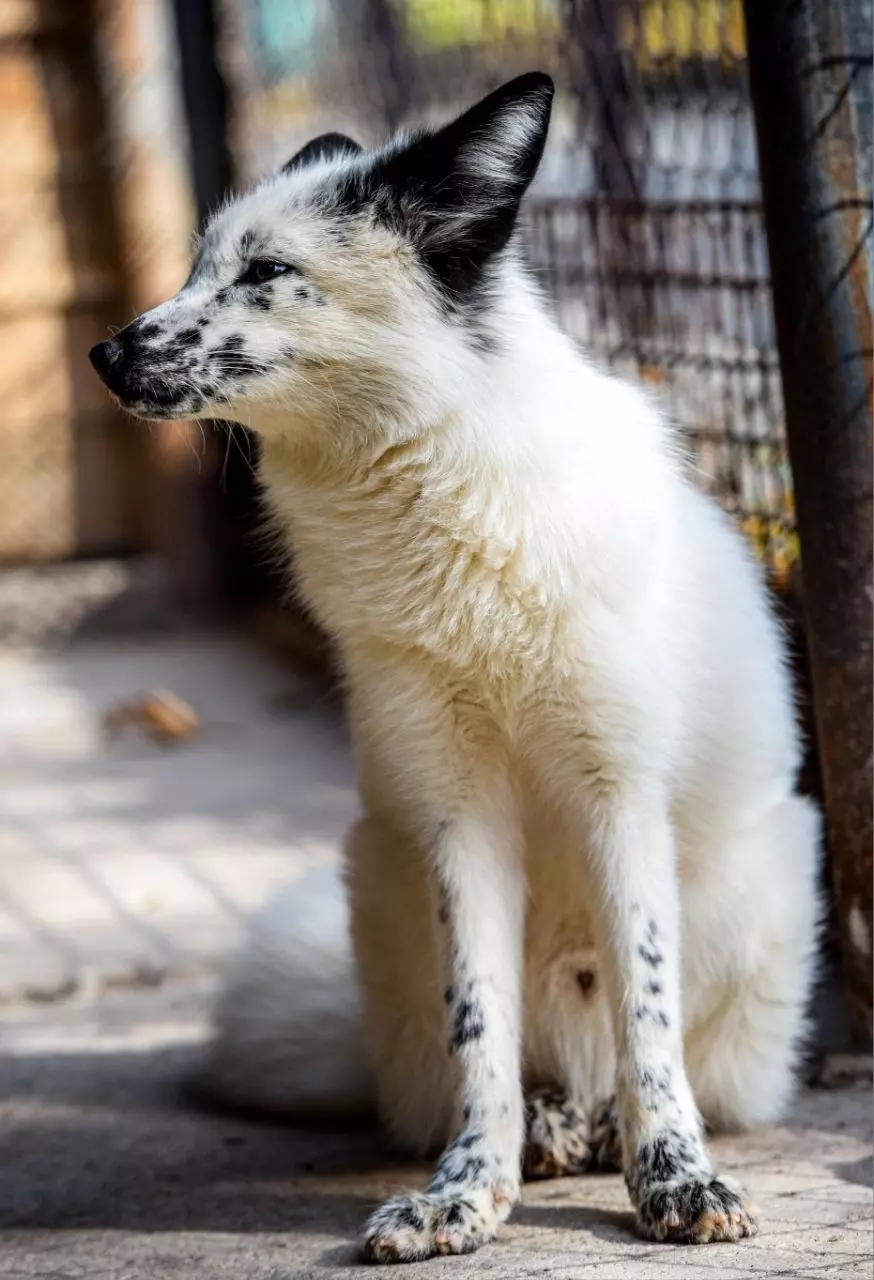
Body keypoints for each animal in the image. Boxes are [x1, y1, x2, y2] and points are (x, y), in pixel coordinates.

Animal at [92, 74, 824, 1264]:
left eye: (266, 271)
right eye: (197, 266)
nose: (105, 355)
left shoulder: (619, 792)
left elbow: (649, 1019)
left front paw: (675, 1178)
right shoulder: (454, 809)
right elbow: (478, 1025)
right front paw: (468, 1192)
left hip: (751, 886)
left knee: (629, 1059)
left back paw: (599, 1125)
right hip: (383, 874)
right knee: (512, 1069)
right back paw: (551, 1128)